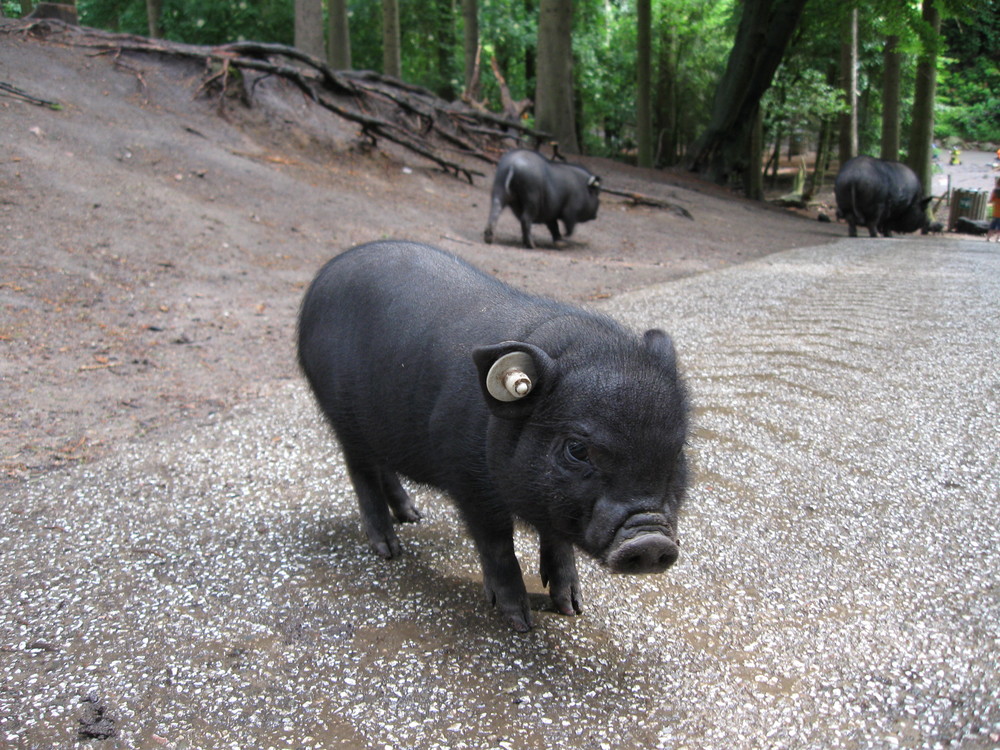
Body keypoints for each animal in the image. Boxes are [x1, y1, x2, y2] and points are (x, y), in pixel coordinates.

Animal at [296, 242, 688, 636]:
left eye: (678, 449)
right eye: (577, 449)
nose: (651, 539)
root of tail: (327, 273)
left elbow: (558, 540)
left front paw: (573, 608)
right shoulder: (467, 478)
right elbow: (497, 541)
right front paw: (520, 622)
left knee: (383, 467)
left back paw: (414, 516)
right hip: (342, 417)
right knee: (361, 473)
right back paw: (390, 550)